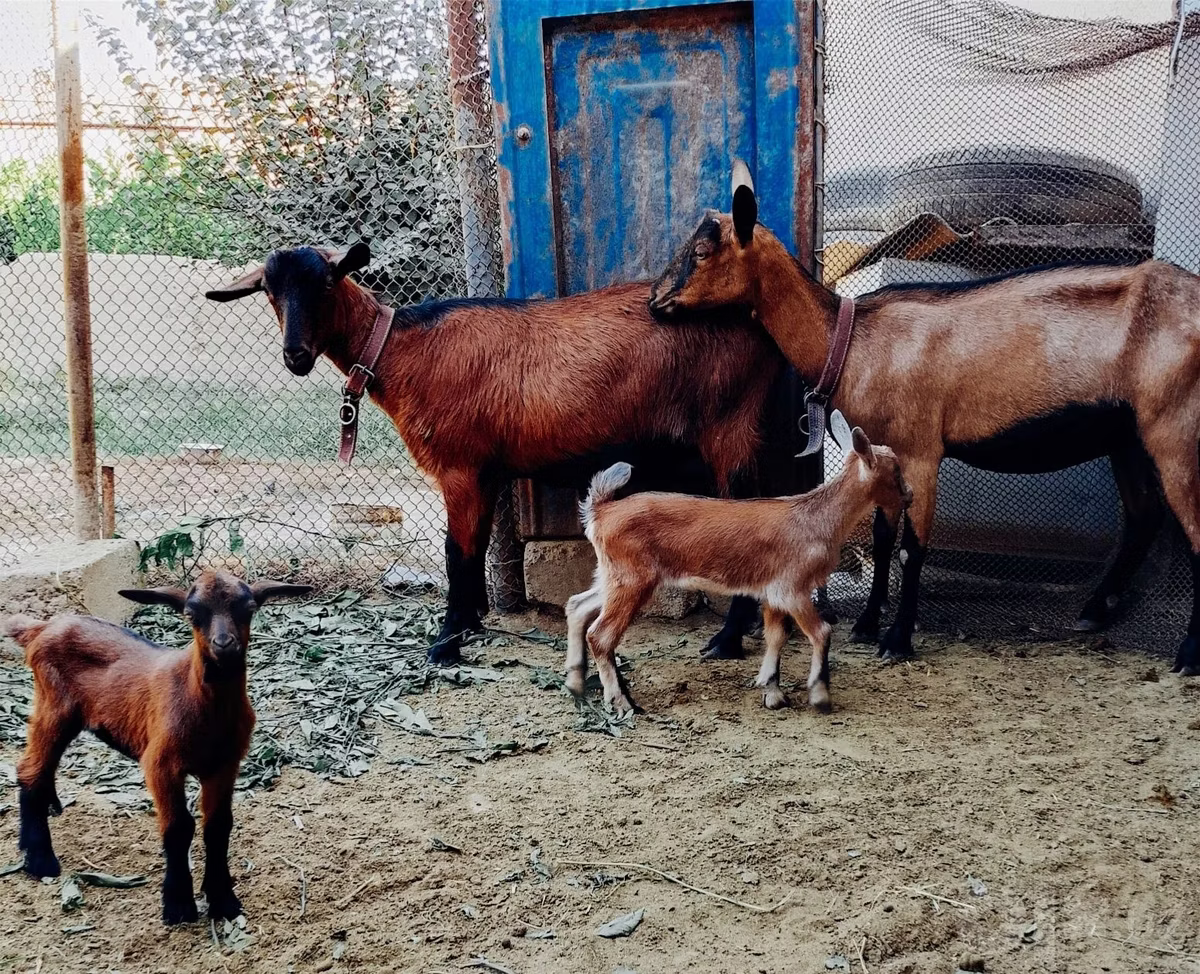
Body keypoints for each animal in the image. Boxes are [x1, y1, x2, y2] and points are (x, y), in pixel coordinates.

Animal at [2, 572, 311, 925]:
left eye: (248, 609)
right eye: (191, 614)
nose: (223, 644)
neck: (204, 706)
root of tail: (41, 628)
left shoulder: (225, 764)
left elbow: (218, 825)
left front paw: (222, 900)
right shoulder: (160, 764)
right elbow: (178, 827)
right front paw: (178, 904)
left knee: (41, 766)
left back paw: (47, 815)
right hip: (55, 706)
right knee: (31, 768)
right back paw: (40, 860)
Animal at [206, 244, 790, 665]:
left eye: (326, 283)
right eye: (268, 290)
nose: (295, 355)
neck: (400, 350)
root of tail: (759, 326)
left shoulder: (459, 466)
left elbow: (457, 552)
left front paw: (445, 643)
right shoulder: (483, 471)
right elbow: (475, 545)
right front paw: (469, 623)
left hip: (729, 429)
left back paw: (728, 640)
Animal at [565, 423, 912, 715]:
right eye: (895, 469)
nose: (909, 495)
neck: (817, 520)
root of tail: (601, 511)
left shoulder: (772, 592)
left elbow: (776, 636)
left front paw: (772, 692)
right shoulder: (793, 587)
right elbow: (821, 632)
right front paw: (820, 696)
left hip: (612, 575)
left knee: (577, 606)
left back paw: (576, 684)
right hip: (633, 578)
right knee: (601, 634)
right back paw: (620, 701)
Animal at [650, 162, 1200, 674]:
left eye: (702, 252)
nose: (655, 301)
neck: (852, 341)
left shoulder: (922, 448)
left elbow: (912, 548)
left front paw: (897, 640)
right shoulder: (883, 449)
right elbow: (882, 537)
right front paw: (868, 625)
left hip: (1174, 425)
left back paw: (1186, 655)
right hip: (1126, 434)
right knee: (1144, 514)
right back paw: (1095, 610)